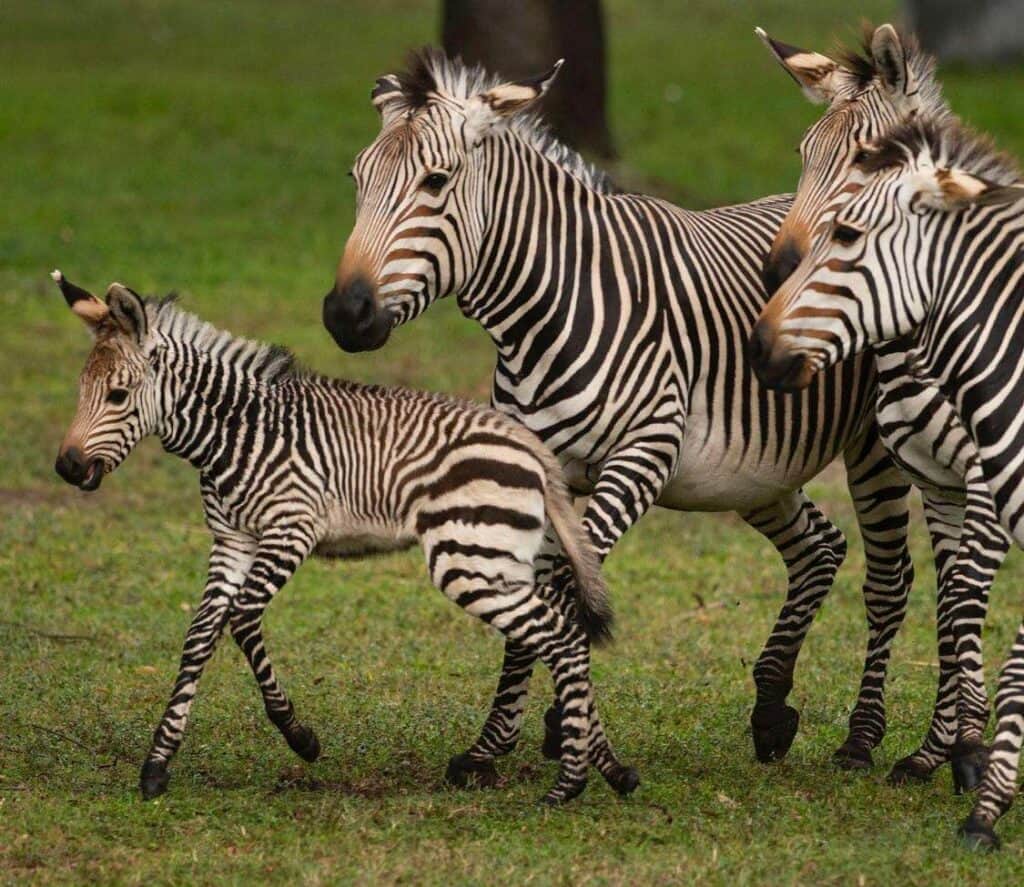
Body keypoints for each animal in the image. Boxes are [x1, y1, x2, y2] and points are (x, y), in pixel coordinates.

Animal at [50, 269, 639, 806]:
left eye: (119, 395)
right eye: (81, 390)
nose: (67, 467)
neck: (237, 433)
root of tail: (532, 447)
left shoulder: (291, 530)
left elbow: (241, 620)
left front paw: (300, 738)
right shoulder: (231, 542)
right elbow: (199, 637)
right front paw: (157, 764)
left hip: (470, 559)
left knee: (560, 636)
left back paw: (569, 783)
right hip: (501, 558)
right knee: (567, 631)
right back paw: (608, 768)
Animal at [321, 47, 920, 772]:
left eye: (435, 182)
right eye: (356, 179)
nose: (344, 314)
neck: (543, 313)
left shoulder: (642, 456)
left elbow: (563, 591)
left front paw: (554, 731)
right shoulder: (544, 471)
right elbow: (540, 590)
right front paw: (503, 741)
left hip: (873, 445)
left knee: (888, 578)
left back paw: (862, 738)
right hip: (750, 468)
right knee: (819, 548)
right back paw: (772, 709)